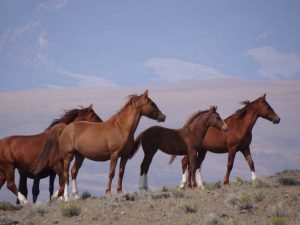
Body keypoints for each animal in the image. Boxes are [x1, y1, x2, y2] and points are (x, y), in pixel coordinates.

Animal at [32, 90, 166, 200]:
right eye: (152, 104)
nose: (163, 117)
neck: (121, 128)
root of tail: (66, 127)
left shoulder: (124, 156)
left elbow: (121, 173)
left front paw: (120, 192)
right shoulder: (114, 155)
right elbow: (111, 172)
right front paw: (108, 192)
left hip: (80, 156)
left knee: (74, 172)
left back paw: (77, 196)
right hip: (68, 156)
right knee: (65, 175)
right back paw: (66, 198)